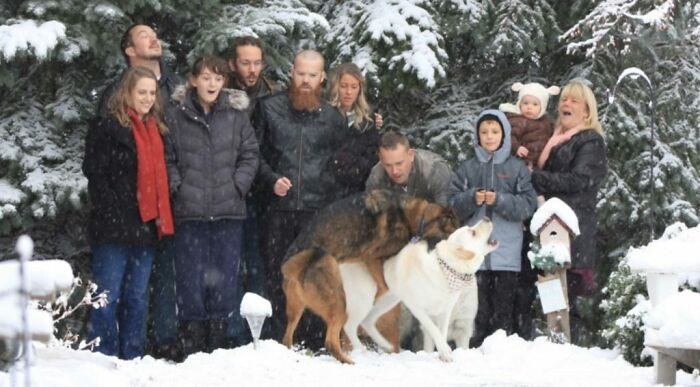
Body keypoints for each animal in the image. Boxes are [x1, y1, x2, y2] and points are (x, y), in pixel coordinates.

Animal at [280, 189, 460, 366]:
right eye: (451, 235)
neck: (412, 215)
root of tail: (290, 266)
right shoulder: (374, 259)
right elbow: (384, 284)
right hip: (337, 299)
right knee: (331, 340)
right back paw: (350, 360)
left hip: (296, 309)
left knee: (287, 337)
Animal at [342, 220, 494, 362]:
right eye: (472, 232)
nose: (487, 218)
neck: (444, 271)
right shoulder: (418, 309)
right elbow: (434, 330)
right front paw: (445, 351)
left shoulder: (446, 314)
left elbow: (442, 333)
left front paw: (444, 354)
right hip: (365, 300)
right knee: (349, 326)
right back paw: (361, 350)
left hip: (388, 301)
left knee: (367, 321)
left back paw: (385, 344)